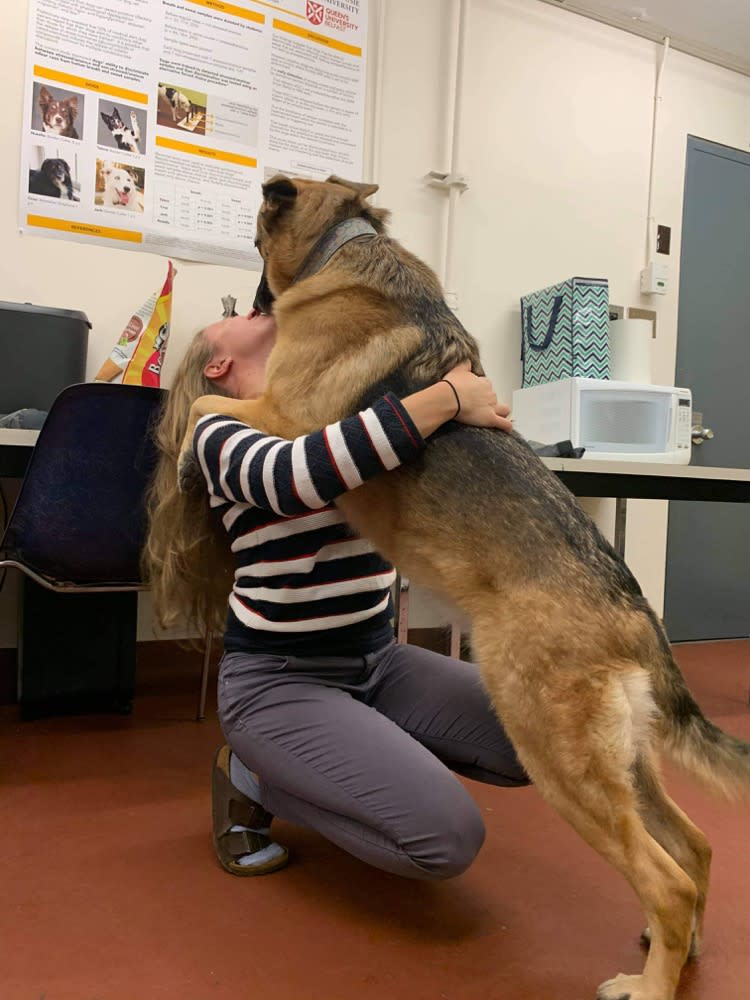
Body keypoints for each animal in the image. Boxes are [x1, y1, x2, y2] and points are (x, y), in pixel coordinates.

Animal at [178, 174, 750, 1000]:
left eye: (253, 240)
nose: (245, 308)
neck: (346, 242)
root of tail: (633, 609)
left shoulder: (283, 420)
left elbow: (200, 404)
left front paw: (187, 462)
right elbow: (202, 406)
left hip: (560, 761)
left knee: (667, 878)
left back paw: (645, 985)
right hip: (620, 760)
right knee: (698, 847)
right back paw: (679, 956)